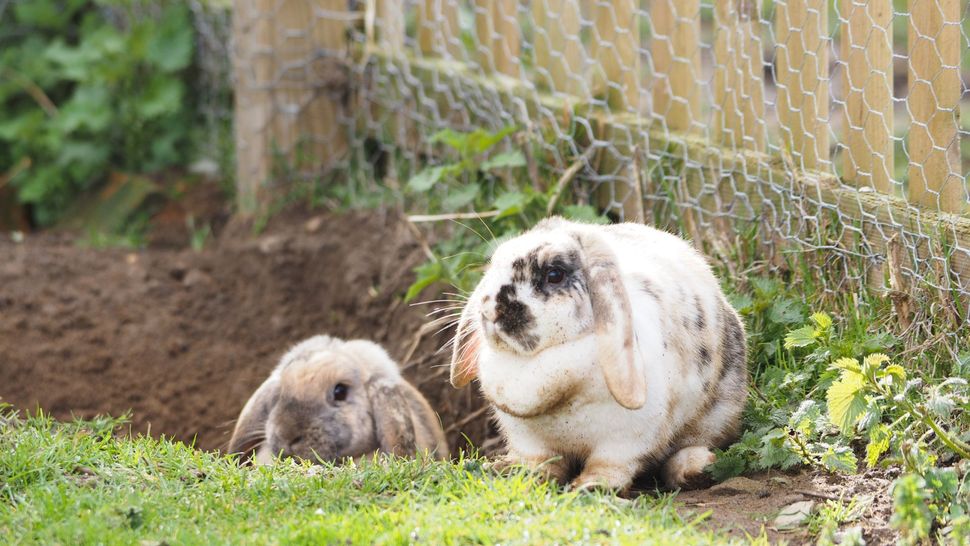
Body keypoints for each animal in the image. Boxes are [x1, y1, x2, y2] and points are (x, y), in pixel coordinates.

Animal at [449, 217, 747, 491]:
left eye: (554, 274)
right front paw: (525, 477)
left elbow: (610, 465)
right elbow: (540, 461)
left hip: (717, 416)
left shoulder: (626, 441)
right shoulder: (529, 441)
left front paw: (590, 486)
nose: (489, 310)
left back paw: (694, 470)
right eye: (495, 264)